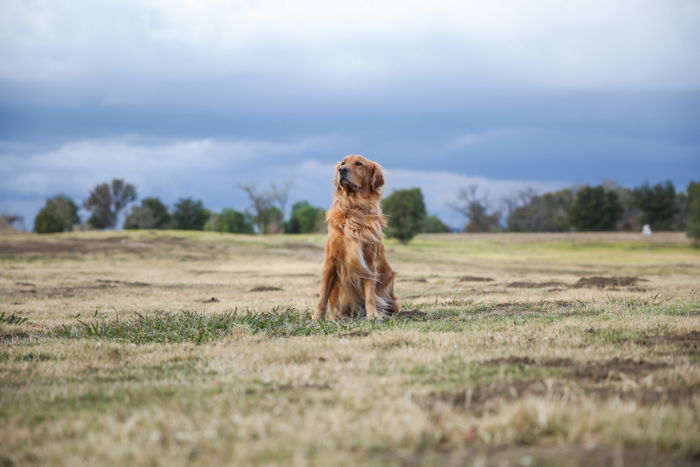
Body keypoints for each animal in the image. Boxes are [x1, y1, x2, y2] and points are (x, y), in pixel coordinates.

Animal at [314, 154, 396, 322]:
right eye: (343, 163)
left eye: (359, 164)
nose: (342, 170)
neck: (353, 208)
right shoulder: (330, 260)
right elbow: (323, 294)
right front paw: (317, 316)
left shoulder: (369, 261)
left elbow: (370, 293)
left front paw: (373, 315)